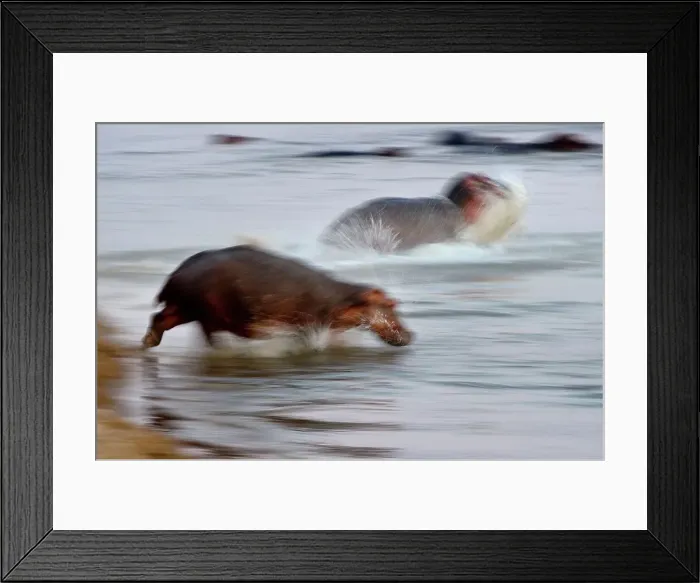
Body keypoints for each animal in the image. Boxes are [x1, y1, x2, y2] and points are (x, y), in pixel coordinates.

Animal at [141, 245, 413, 349]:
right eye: (392, 303)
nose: (412, 334)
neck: (344, 300)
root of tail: (176, 274)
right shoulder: (309, 324)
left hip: (185, 308)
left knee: (160, 318)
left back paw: (148, 343)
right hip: (203, 311)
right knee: (208, 335)